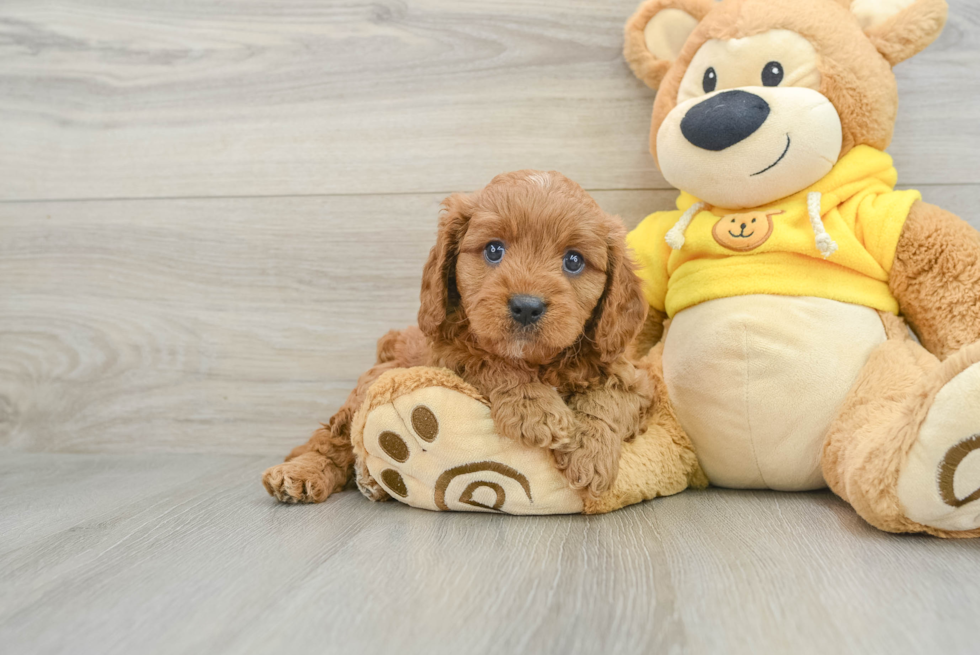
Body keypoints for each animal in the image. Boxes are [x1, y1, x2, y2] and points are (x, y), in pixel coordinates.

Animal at [264, 169, 656, 502]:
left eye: (574, 261)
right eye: (494, 249)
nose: (526, 306)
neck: (538, 363)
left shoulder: (634, 377)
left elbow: (609, 399)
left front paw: (590, 452)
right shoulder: (448, 354)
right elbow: (490, 362)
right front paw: (534, 409)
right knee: (331, 439)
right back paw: (301, 474)